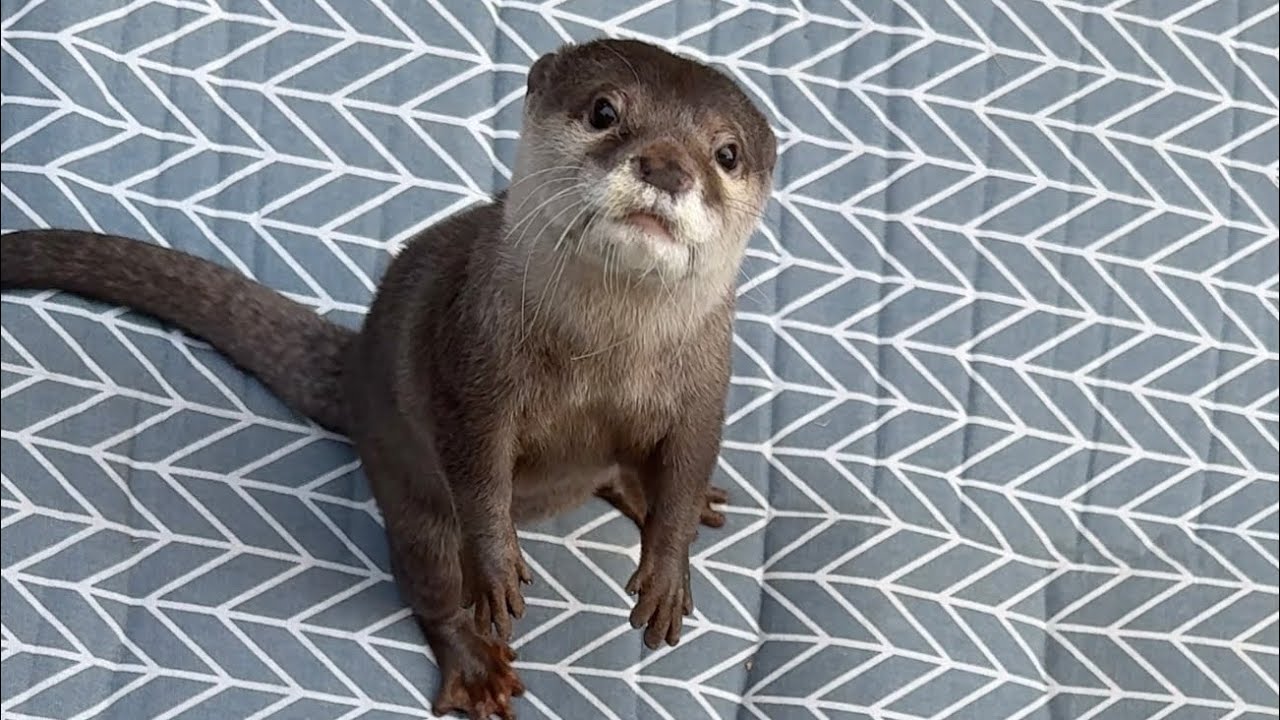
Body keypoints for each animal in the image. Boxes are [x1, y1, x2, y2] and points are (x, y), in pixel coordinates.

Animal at [0, 37, 777, 719]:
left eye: (726, 153)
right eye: (604, 111)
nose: (668, 167)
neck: (601, 360)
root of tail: (360, 365)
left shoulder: (707, 388)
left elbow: (688, 458)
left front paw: (669, 571)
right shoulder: (471, 369)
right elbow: (478, 474)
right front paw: (497, 567)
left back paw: (659, 499)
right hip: (407, 494)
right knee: (425, 581)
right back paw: (475, 667)